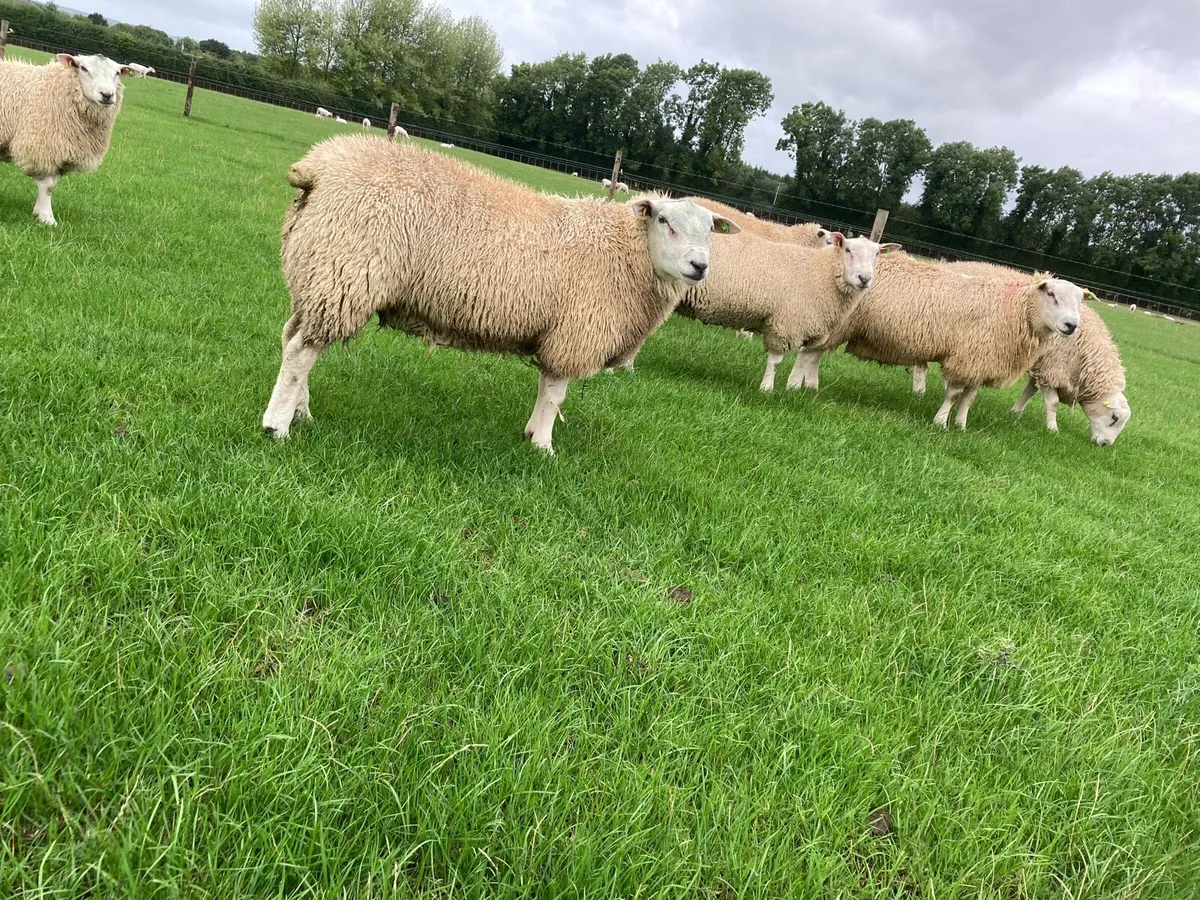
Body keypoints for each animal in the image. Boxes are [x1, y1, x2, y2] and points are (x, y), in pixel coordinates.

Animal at [0, 53, 136, 226]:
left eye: (117, 73)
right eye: (83, 68)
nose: (107, 95)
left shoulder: (59, 152)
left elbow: (52, 184)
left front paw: (38, 212)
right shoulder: (43, 148)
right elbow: (48, 186)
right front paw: (47, 218)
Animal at [261, 134, 740, 454]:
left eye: (710, 232)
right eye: (664, 221)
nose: (700, 267)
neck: (625, 252)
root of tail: (318, 166)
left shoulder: (556, 332)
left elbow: (546, 387)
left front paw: (531, 434)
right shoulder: (574, 332)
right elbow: (556, 394)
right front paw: (544, 447)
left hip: (316, 275)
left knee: (292, 340)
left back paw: (301, 411)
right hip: (344, 276)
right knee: (301, 353)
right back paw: (276, 426)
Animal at [788, 254, 1085, 429]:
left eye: (1080, 301)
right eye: (1051, 294)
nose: (1071, 326)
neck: (1010, 310)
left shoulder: (980, 359)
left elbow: (969, 398)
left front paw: (961, 425)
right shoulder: (964, 357)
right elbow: (954, 394)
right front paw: (941, 422)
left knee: (814, 354)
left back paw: (811, 386)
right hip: (837, 320)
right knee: (808, 352)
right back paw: (794, 386)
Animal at [1010, 304, 1130, 446]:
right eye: (1114, 417)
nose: (1105, 444)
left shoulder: (1041, 370)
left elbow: (1029, 392)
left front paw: (1016, 411)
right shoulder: (1052, 370)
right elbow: (1053, 403)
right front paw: (1052, 429)